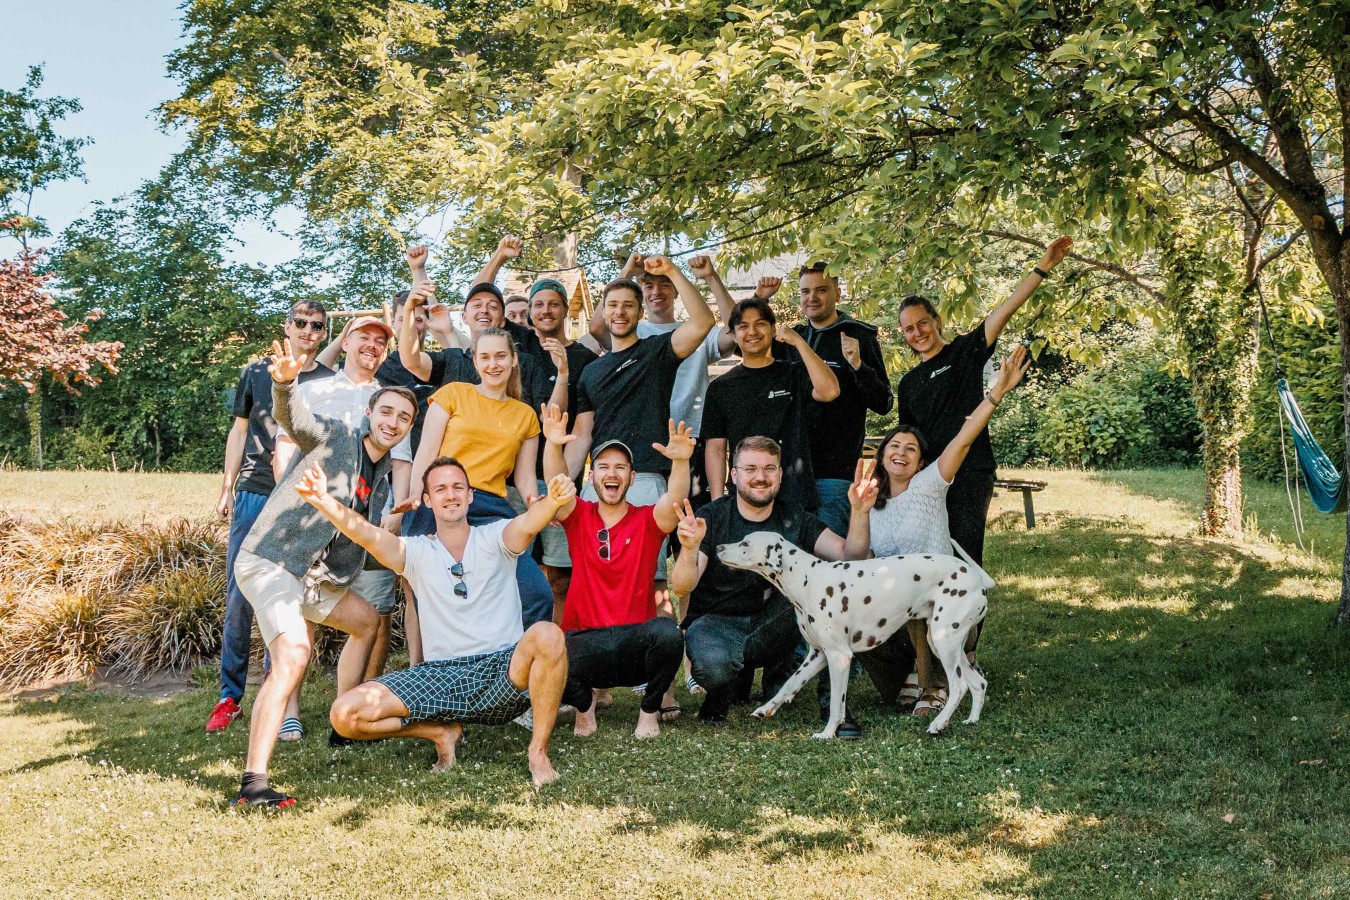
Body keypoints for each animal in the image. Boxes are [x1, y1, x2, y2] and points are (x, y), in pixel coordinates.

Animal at [717, 532, 993, 738]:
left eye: (745, 543)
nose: (719, 546)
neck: (807, 579)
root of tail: (976, 578)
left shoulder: (839, 657)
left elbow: (836, 703)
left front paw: (828, 733)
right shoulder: (817, 655)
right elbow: (788, 684)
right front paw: (766, 708)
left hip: (943, 641)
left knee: (958, 687)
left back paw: (938, 724)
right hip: (946, 646)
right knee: (978, 683)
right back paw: (972, 720)